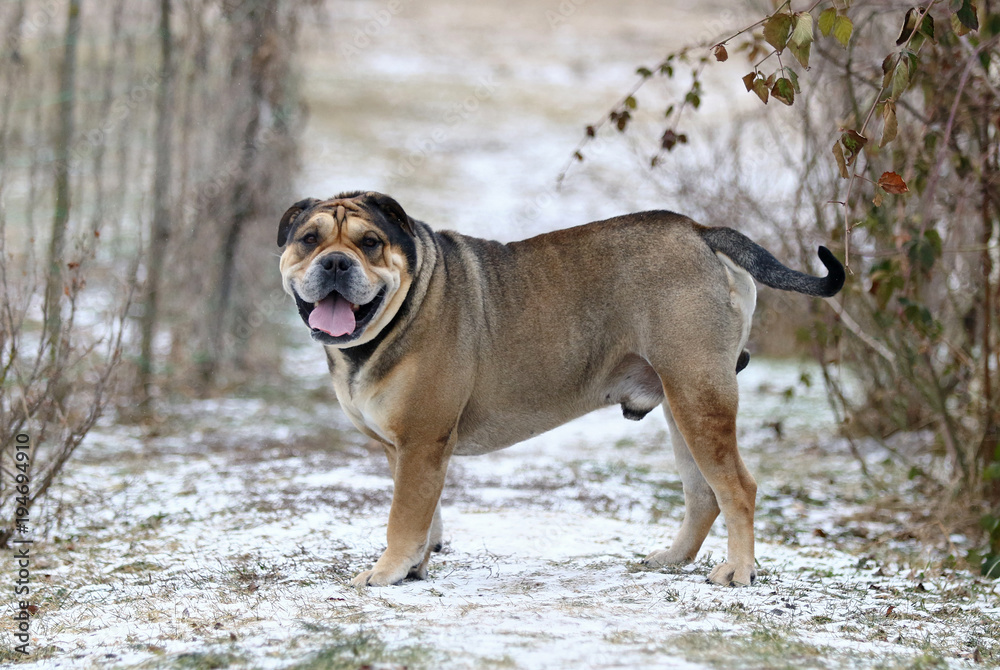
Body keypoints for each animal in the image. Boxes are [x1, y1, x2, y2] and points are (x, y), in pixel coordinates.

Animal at [276, 190, 844, 588]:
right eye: (309, 239)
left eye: (370, 243)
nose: (335, 262)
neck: (406, 303)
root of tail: (701, 232)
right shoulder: (407, 450)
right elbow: (424, 515)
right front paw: (414, 567)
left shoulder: (421, 441)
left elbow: (403, 516)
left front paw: (387, 571)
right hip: (684, 404)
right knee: (704, 492)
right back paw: (672, 559)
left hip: (700, 395)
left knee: (737, 488)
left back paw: (739, 571)